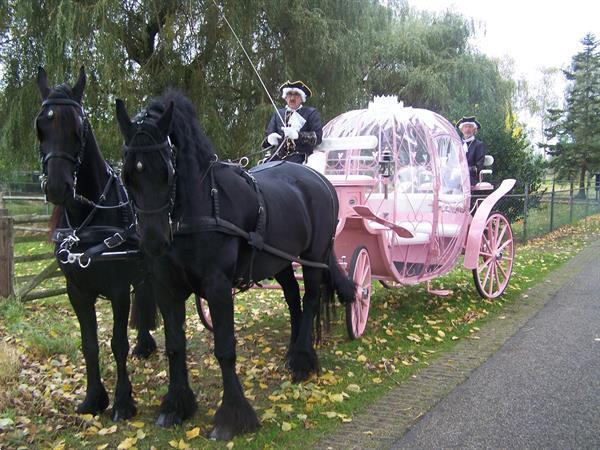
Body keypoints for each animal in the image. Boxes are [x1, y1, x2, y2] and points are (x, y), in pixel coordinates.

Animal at [36, 67, 158, 422]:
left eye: (78, 129)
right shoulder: (77, 290)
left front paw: (123, 401)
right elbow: (88, 343)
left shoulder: (117, 290)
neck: (87, 223)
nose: (58, 187)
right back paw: (144, 344)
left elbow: (116, 343)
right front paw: (93, 398)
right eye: (41, 127)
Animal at [115, 90, 354, 440]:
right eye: (127, 174)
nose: (153, 241)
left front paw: (232, 416)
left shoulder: (217, 287)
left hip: (313, 258)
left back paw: (302, 361)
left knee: (310, 301)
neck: (202, 206)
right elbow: (175, 346)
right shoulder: (167, 289)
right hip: (280, 261)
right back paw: (294, 349)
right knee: (293, 299)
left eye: (167, 170)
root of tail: (319, 180)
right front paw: (176, 405)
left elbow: (225, 348)